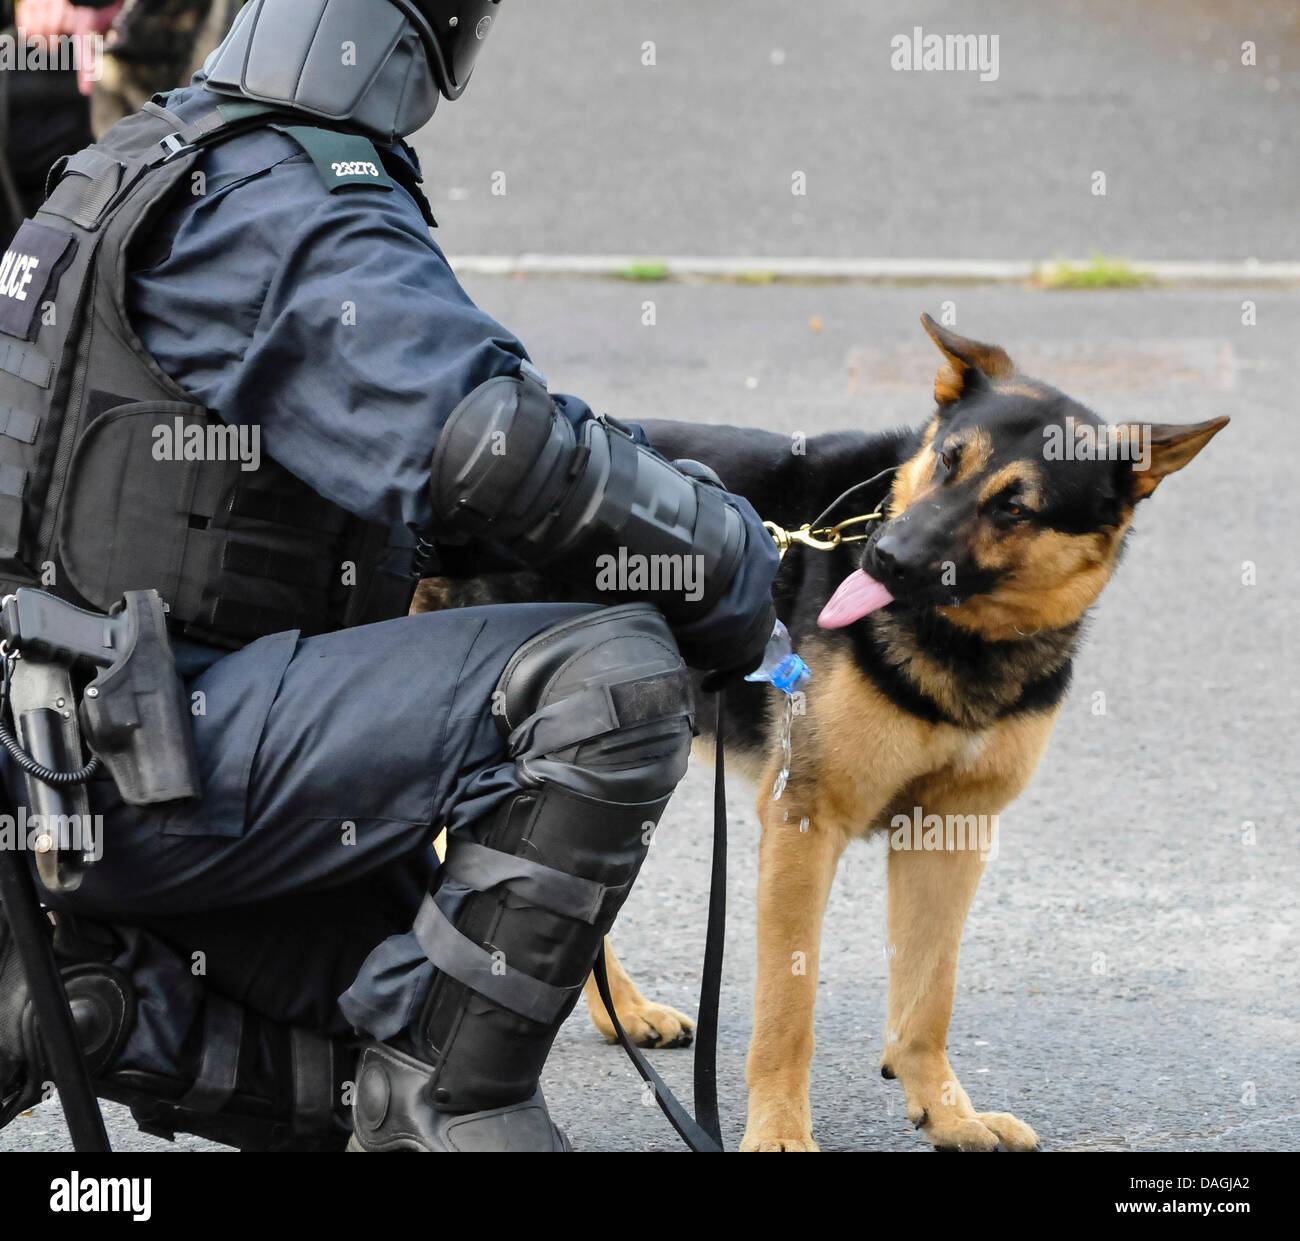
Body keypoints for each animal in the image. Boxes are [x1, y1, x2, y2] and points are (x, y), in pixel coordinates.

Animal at [416, 318, 1227, 1153]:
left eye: (1016, 507)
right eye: (947, 460)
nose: (881, 558)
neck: (962, 641)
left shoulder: (950, 835)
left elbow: (930, 994)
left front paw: (946, 1111)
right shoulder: (803, 824)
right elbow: (787, 1005)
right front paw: (778, 1129)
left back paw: (624, 1011)